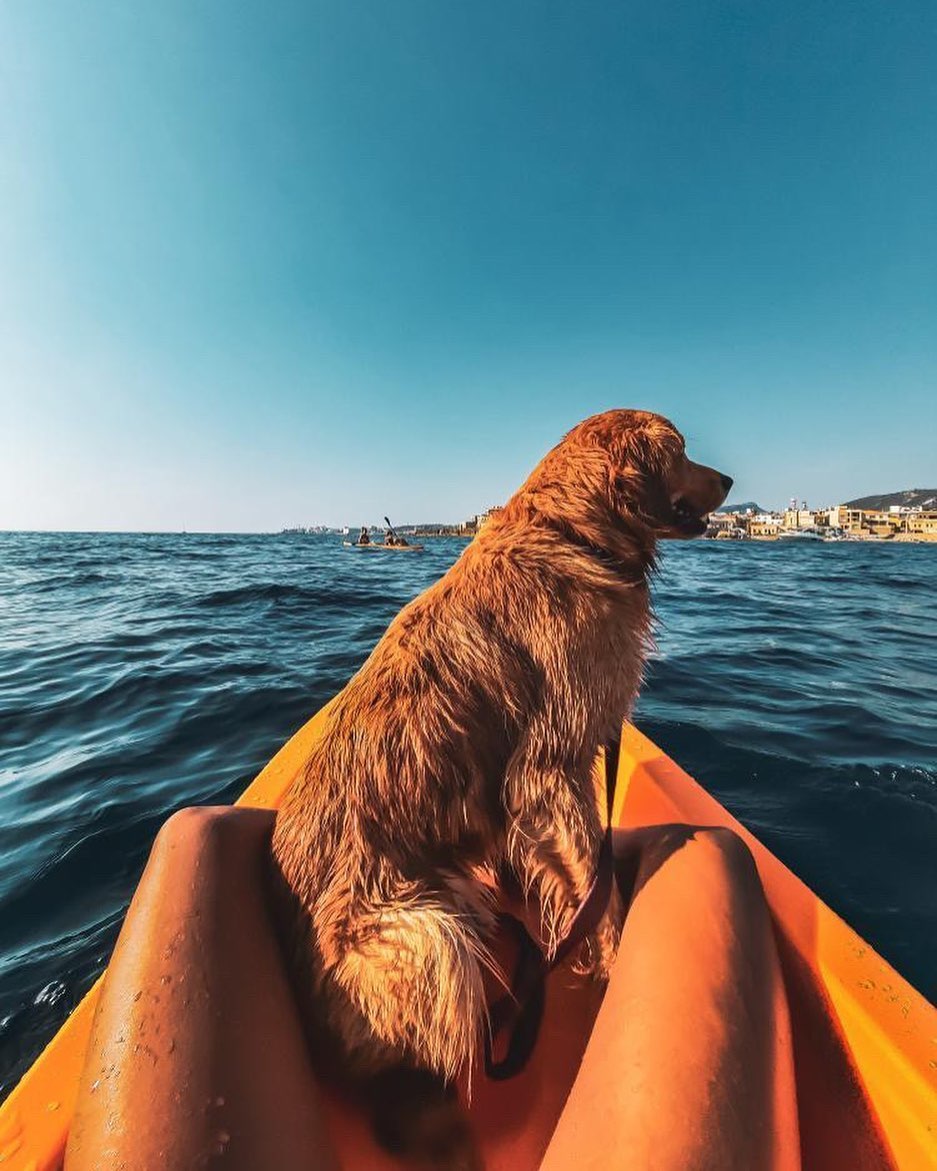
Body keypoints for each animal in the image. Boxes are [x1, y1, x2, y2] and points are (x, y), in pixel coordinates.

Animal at [270, 409, 730, 1161]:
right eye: (682, 450)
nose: (728, 481)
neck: (574, 532)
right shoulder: (550, 763)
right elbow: (594, 886)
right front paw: (610, 960)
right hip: (428, 929)